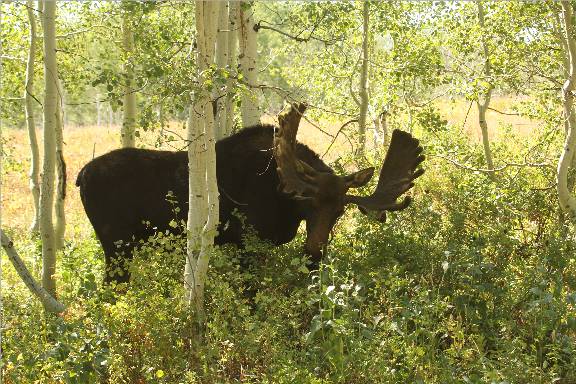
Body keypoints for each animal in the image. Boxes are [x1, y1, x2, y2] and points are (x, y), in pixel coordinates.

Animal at [76, 103, 426, 284]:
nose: (315, 252)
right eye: (309, 203)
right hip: (116, 244)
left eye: (340, 211)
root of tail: (80, 176)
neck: (284, 202)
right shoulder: (247, 244)